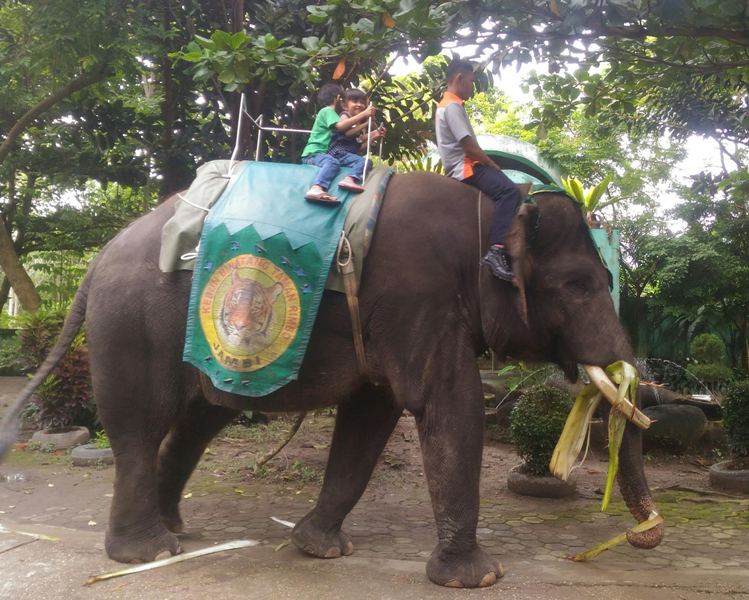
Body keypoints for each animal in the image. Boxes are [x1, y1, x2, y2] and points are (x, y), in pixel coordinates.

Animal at [0, 172, 663, 588]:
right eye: (579, 285)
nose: (645, 537)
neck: (491, 207)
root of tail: (95, 263)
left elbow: (372, 415)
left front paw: (318, 548)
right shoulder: (417, 298)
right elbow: (447, 406)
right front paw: (479, 578)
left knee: (199, 419)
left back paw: (175, 532)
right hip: (133, 325)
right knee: (141, 425)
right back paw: (148, 553)